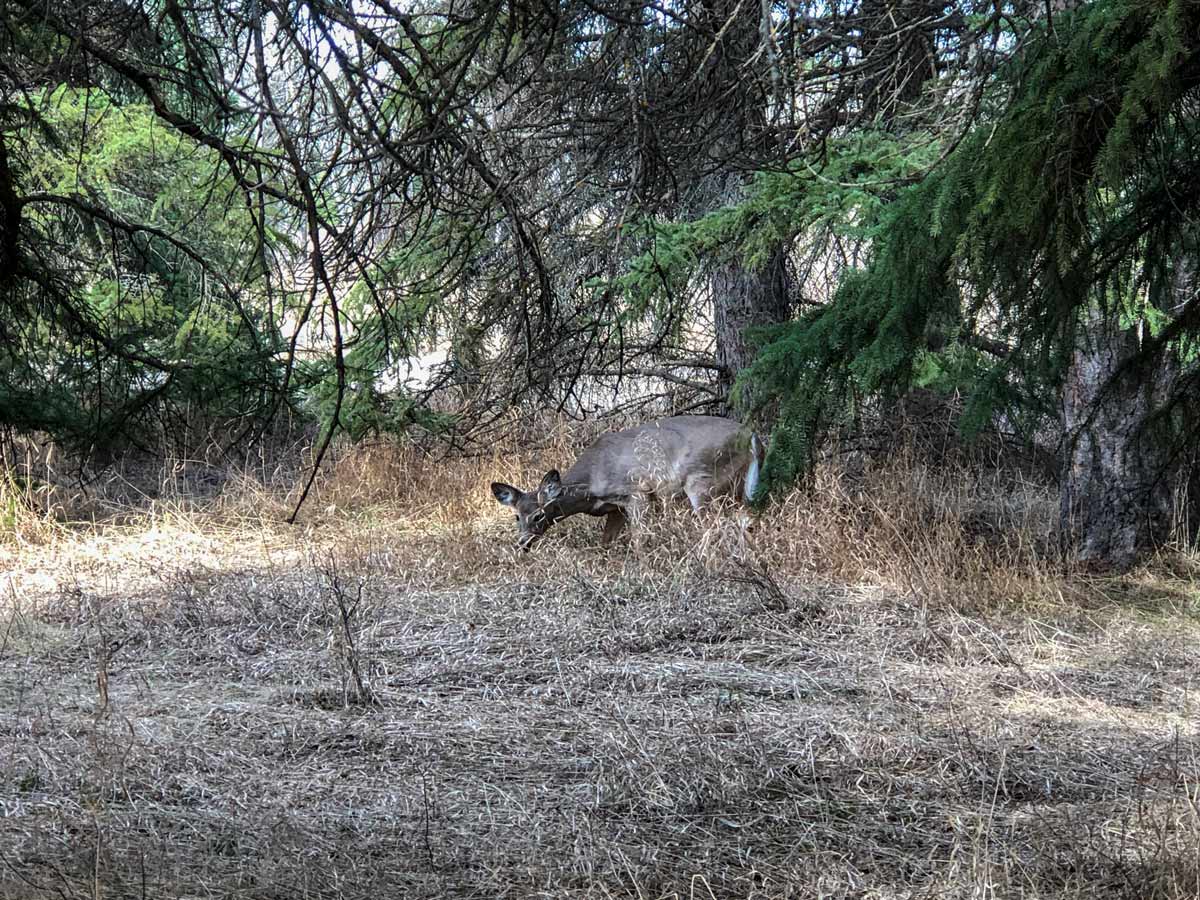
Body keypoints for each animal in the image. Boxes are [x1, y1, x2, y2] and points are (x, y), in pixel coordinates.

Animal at [489, 417, 763, 556]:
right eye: (516, 516)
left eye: (538, 515)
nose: (523, 543)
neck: (591, 482)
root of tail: (752, 435)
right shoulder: (615, 508)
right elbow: (606, 541)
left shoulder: (637, 492)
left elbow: (639, 537)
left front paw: (642, 566)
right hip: (736, 485)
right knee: (744, 519)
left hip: (702, 480)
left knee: (715, 525)